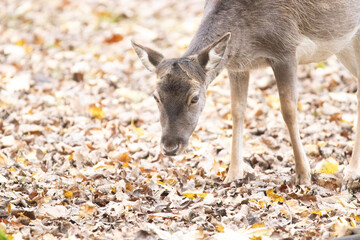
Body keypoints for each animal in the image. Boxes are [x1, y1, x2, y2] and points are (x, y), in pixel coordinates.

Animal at [131, 0, 360, 189]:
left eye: (194, 98)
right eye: (156, 97)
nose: (170, 147)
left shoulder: (286, 50)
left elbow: (288, 111)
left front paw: (304, 176)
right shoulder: (237, 66)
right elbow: (237, 112)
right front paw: (232, 175)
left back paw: (350, 175)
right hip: (346, 45)